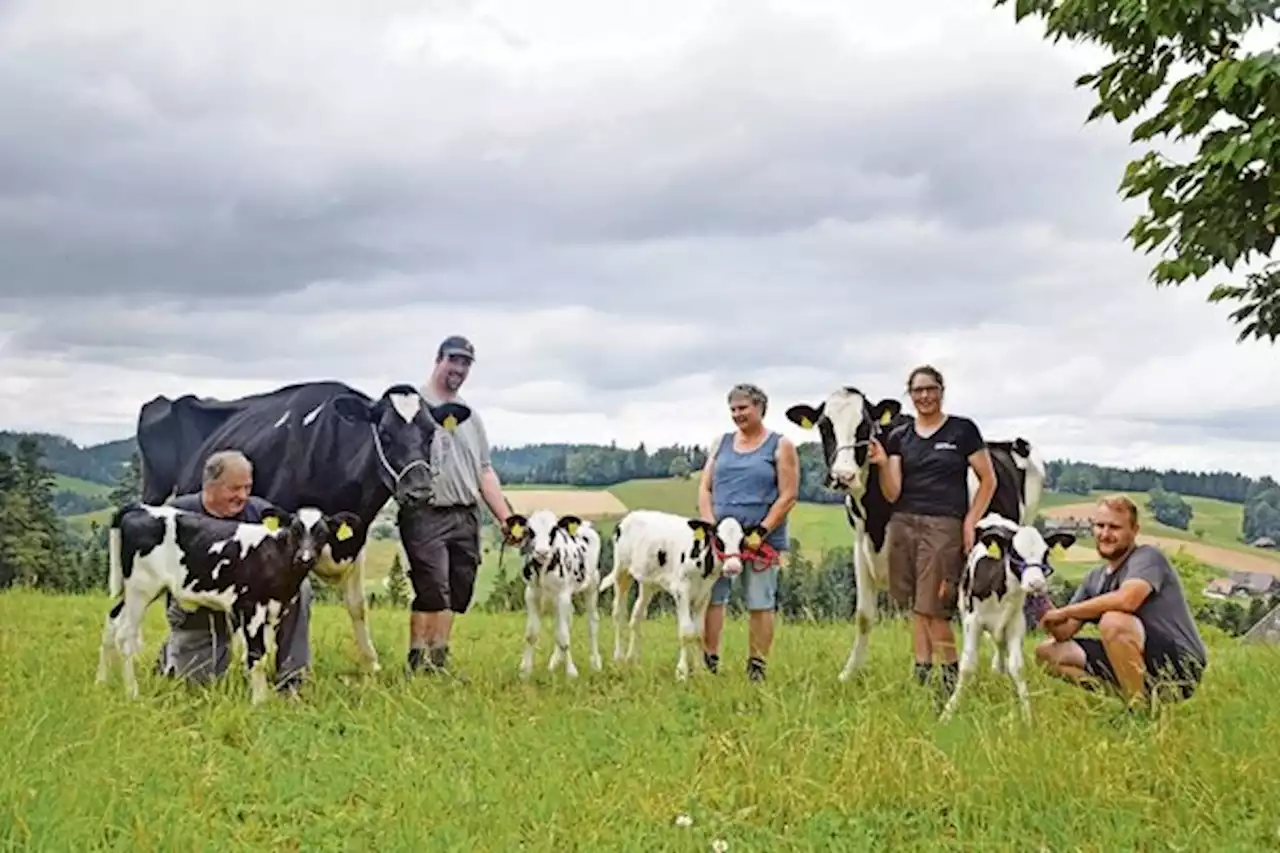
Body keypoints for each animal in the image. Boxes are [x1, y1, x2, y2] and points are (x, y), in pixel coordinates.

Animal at [96, 502, 360, 701]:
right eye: (295, 529)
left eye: (322, 533)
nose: (305, 558)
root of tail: (140, 506)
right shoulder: (252, 607)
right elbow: (257, 656)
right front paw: (259, 703)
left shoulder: (275, 609)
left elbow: (263, 654)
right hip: (142, 587)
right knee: (125, 635)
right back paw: (132, 693)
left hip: (134, 591)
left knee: (111, 622)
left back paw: (102, 682)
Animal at [504, 504, 604, 676]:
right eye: (530, 530)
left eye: (554, 530)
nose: (542, 552)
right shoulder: (531, 595)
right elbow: (532, 634)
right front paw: (525, 671)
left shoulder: (562, 595)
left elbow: (563, 636)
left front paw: (571, 672)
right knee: (566, 622)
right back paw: (554, 662)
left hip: (591, 586)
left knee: (592, 623)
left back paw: (595, 663)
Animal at [596, 507, 762, 681]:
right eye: (718, 539)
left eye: (742, 541)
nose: (733, 566)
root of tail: (630, 515)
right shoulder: (681, 591)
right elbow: (687, 632)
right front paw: (682, 672)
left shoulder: (704, 595)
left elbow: (699, 633)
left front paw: (700, 671)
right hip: (622, 572)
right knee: (619, 613)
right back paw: (618, 658)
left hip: (648, 583)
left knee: (637, 615)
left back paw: (632, 660)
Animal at [783, 384, 1044, 676]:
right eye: (825, 426)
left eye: (865, 426)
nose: (843, 476)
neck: (876, 519)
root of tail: (1010, 443)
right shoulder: (861, 548)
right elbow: (864, 616)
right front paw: (849, 673)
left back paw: (998, 667)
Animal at [936, 507, 1075, 722]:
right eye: (1015, 553)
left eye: (1045, 553)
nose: (1036, 583)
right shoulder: (973, 621)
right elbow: (967, 666)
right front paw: (949, 711)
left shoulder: (1016, 623)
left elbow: (1017, 667)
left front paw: (1026, 715)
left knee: (1000, 651)